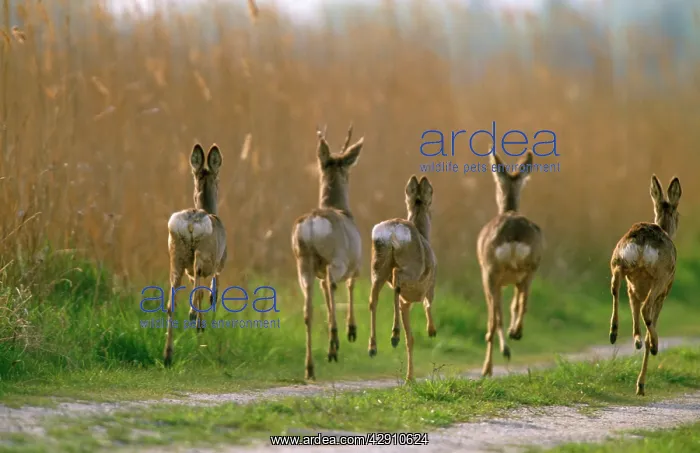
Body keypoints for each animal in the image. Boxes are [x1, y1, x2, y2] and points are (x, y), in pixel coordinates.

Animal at [163, 143, 227, 367]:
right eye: (219, 179)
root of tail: (191, 222)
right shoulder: (219, 266)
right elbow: (212, 294)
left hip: (175, 257)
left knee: (171, 304)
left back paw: (168, 355)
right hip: (203, 253)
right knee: (199, 287)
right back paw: (195, 320)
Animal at [291, 124, 365, 380]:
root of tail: (312, 224)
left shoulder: (320, 271)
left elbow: (325, 292)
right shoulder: (356, 263)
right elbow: (351, 286)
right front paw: (351, 330)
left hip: (304, 262)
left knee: (308, 309)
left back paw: (310, 367)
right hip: (336, 259)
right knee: (333, 284)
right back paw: (334, 340)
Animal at [368, 175, 437, 382]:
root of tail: (392, 232)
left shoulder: (406, 303)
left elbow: (411, 339)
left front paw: (409, 378)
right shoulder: (428, 287)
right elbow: (428, 304)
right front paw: (431, 330)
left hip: (377, 264)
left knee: (373, 298)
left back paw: (373, 347)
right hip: (410, 268)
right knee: (396, 278)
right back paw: (394, 335)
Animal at [477, 149, 543, 377]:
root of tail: (514, 231)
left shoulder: (487, 275)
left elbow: (494, 317)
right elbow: (515, 304)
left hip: (491, 272)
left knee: (494, 318)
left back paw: (490, 365)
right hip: (532, 266)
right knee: (523, 301)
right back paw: (516, 332)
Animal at [609, 175, 682, 396]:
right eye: (678, 214)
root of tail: (642, 241)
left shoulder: (634, 288)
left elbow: (634, 315)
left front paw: (636, 341)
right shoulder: (664, 293)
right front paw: (640, 385)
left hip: (619, 261)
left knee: (615, 288)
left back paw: (613, 332)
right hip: (660, 277)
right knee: (646, 310)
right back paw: (655, 345)